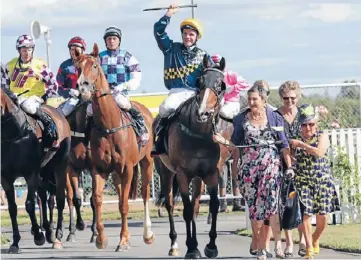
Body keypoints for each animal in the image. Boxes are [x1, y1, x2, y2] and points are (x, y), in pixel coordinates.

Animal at [0, 87, 71, 252]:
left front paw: (38, 236)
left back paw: (57, 235)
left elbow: (29, 204)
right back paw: (48, 231)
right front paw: (15, 242)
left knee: (59, 199)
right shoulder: (5, 177)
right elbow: (12, 208)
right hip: (44, 171)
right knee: (44, 198)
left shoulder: (31, 173)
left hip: (60, 166)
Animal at [74, 43, 155, 251]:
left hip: (147, 162)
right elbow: (97, 200)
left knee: (144, 194)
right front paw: (101, 239)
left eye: (94, 66)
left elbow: (124, 205)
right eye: (77, 67)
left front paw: (124, 240)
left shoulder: (127, 169)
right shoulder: (99, 169)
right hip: (116, 174)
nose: (83, 86)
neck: (109, 126)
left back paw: (148, 234)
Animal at [153, 55, 226, 258]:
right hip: (166, 173)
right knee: (170, 204)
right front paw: (192, 247)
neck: (199, 135)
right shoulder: (182, 174)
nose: (204, 113)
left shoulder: (211, 173)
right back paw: (174, 245)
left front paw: (211, 245)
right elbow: (185, 209)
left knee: (195, 205)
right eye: (200, 81)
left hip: (198, 177)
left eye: (221, 85)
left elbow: (212, 205)